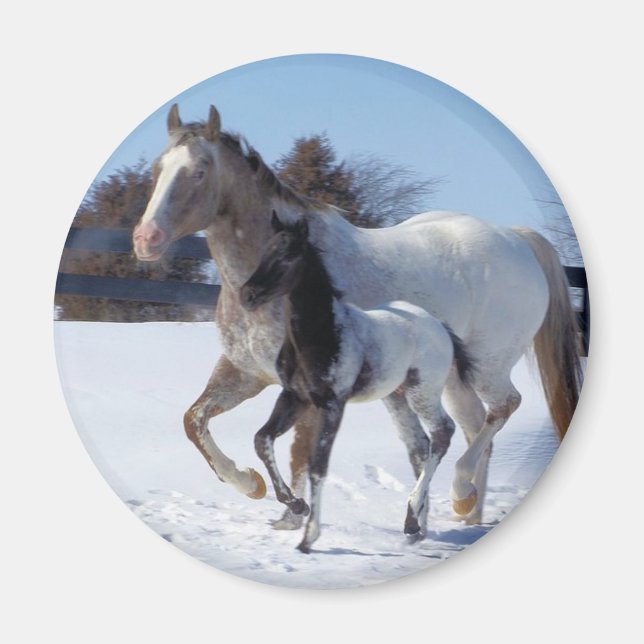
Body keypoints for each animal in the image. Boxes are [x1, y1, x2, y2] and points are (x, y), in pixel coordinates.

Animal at [240, 211, 475, 551]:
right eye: (264, 251)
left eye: (289, 255)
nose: (247, 295)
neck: (321, 333)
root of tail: (439, 326)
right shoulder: (294, 396)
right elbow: (262, 439)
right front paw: (297, 505)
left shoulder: (333, 404)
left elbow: (317, 465)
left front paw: (309, 537)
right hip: (397, 397)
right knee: (420, 445)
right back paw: (414, 526)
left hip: (423, 392)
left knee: (443, 433)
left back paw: (413, 514)